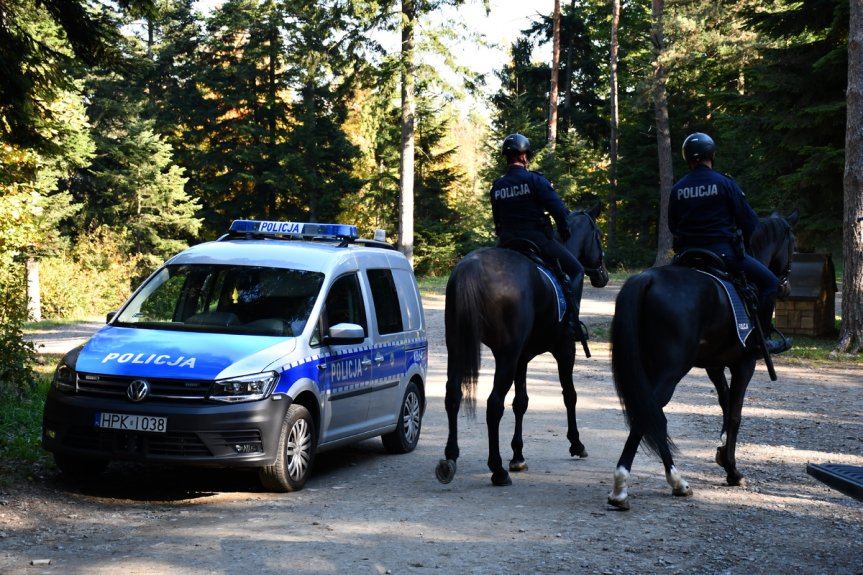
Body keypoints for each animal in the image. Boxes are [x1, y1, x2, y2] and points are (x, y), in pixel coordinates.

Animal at [436, 205, 612, 488]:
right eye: (597, 235)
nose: (603, 275)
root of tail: (472, 267)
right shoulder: (564, 349)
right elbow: (569, 395)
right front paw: (576, 443)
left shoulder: (522, 357)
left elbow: (521, 402)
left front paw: (518, 455)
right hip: (506, 355)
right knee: (494, 404)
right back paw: (497, 469)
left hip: (458, 346)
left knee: (453, 395)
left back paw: (450, 457)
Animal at [604, 212, 800, 508]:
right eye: (792, 243)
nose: (786, 287)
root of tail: (646, 279)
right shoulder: (745, 364)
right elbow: (735, 414)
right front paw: (732, 471)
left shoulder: (714, 366)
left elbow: (725, 404)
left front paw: (723, 455)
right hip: (671, 370)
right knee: (647, 415)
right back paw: (623, 486)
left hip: (650, 367)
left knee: (654, 415)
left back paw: (677, 482)